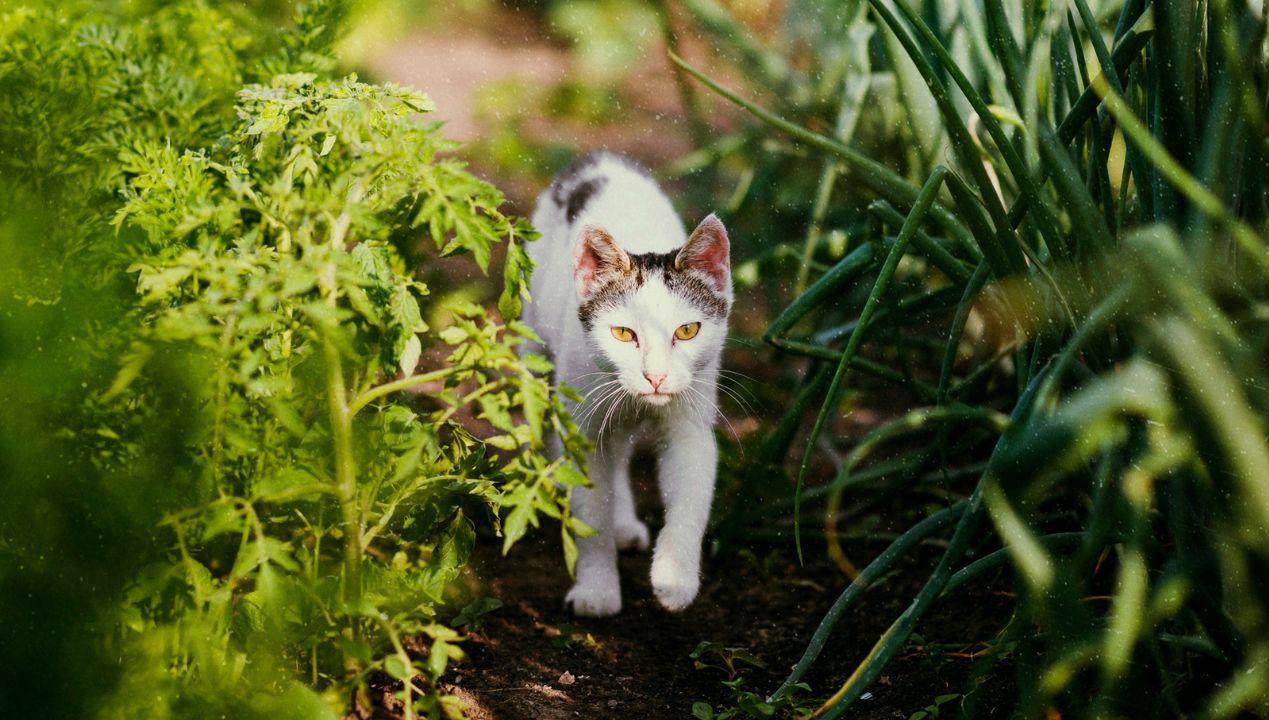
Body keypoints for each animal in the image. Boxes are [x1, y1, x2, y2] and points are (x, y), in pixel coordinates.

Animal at [517, 149, 736, 617]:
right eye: (622, 334)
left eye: (687, 331)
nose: (655, 375)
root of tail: (598, 156)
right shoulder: (583, 421)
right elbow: (590, 510)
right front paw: (597, 589)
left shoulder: (691, 421)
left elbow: (690, 498)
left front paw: (674, 578)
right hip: (538, 352)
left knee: (618, 453)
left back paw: (624, 523)